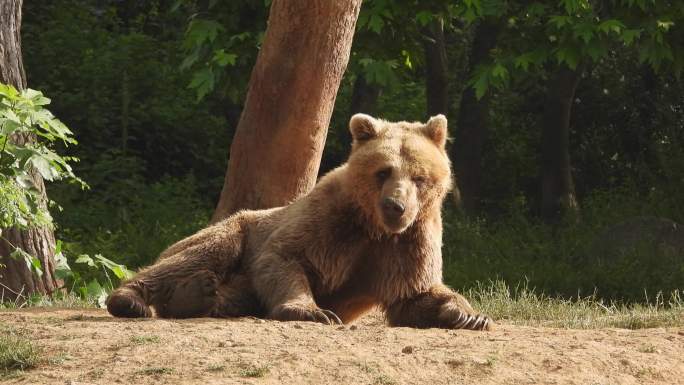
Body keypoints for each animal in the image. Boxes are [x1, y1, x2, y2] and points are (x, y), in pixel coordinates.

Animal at [105, 112, 492, 330]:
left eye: (418, 176)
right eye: (383, 171)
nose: (395, 206)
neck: (374, 227)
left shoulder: (409, 242)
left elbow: (414, 294)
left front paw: (467, 315)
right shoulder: (331, 222)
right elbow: (286, 257)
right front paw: (314, 312)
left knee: (231, 293)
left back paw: (195, 295)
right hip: (234, 229)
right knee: (197, 255)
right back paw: (132, 299)